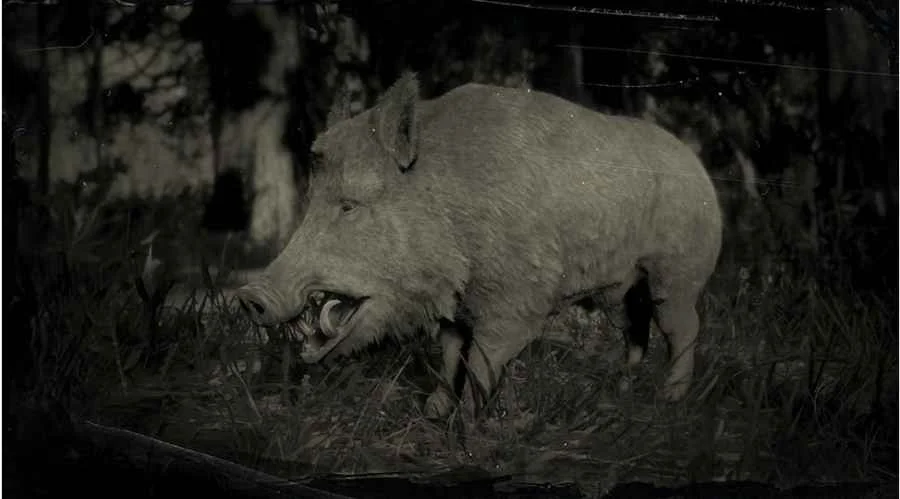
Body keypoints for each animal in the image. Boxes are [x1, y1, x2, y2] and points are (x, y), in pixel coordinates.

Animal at [236, 72, 723, 419]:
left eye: (349, 206)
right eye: (311, 200)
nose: (248, 296)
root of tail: (699, 169)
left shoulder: (519, 295)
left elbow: (483, 357)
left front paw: (467, 421)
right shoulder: (458, 305)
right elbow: (451, 352)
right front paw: (434, 412)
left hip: (679, 272)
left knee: (684, 328)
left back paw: (670, 401)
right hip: (623, 289)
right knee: (636, 331)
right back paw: (621, 391)